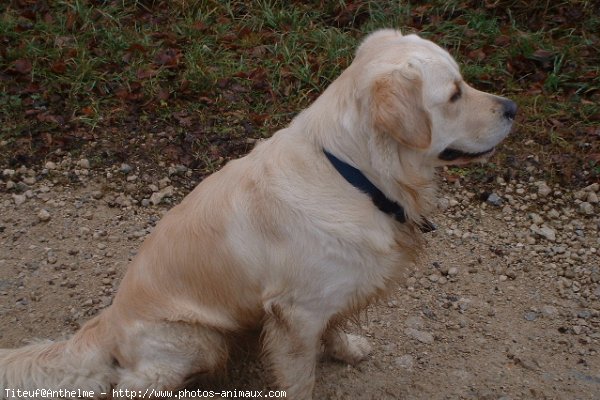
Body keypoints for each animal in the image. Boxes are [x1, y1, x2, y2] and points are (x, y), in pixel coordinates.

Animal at [0, 29, 516, 398]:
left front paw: (347, 349)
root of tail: (108, 322)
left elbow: (336, 325)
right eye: (454, 94)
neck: (354, 174)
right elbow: (301, 377)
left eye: (463, 83)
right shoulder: (297, 313)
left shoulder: (327, 295)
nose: (512, 106)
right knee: (130, 385)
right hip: (198, 341)